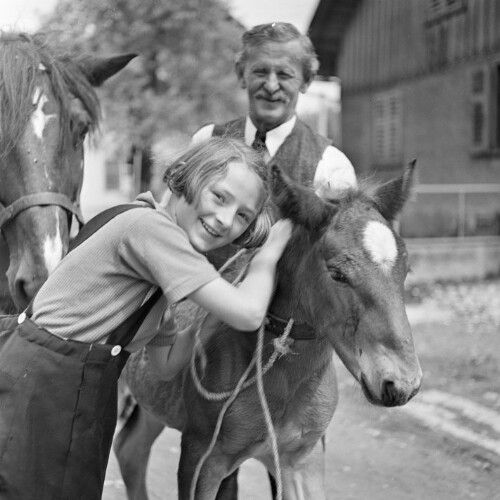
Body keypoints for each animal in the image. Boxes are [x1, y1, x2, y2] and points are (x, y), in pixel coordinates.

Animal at [113, 161, 422, 500]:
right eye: (337, 273)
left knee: (130, 450)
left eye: (406, 270)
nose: (401, 383)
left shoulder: (303, 459)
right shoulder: (201, 455)